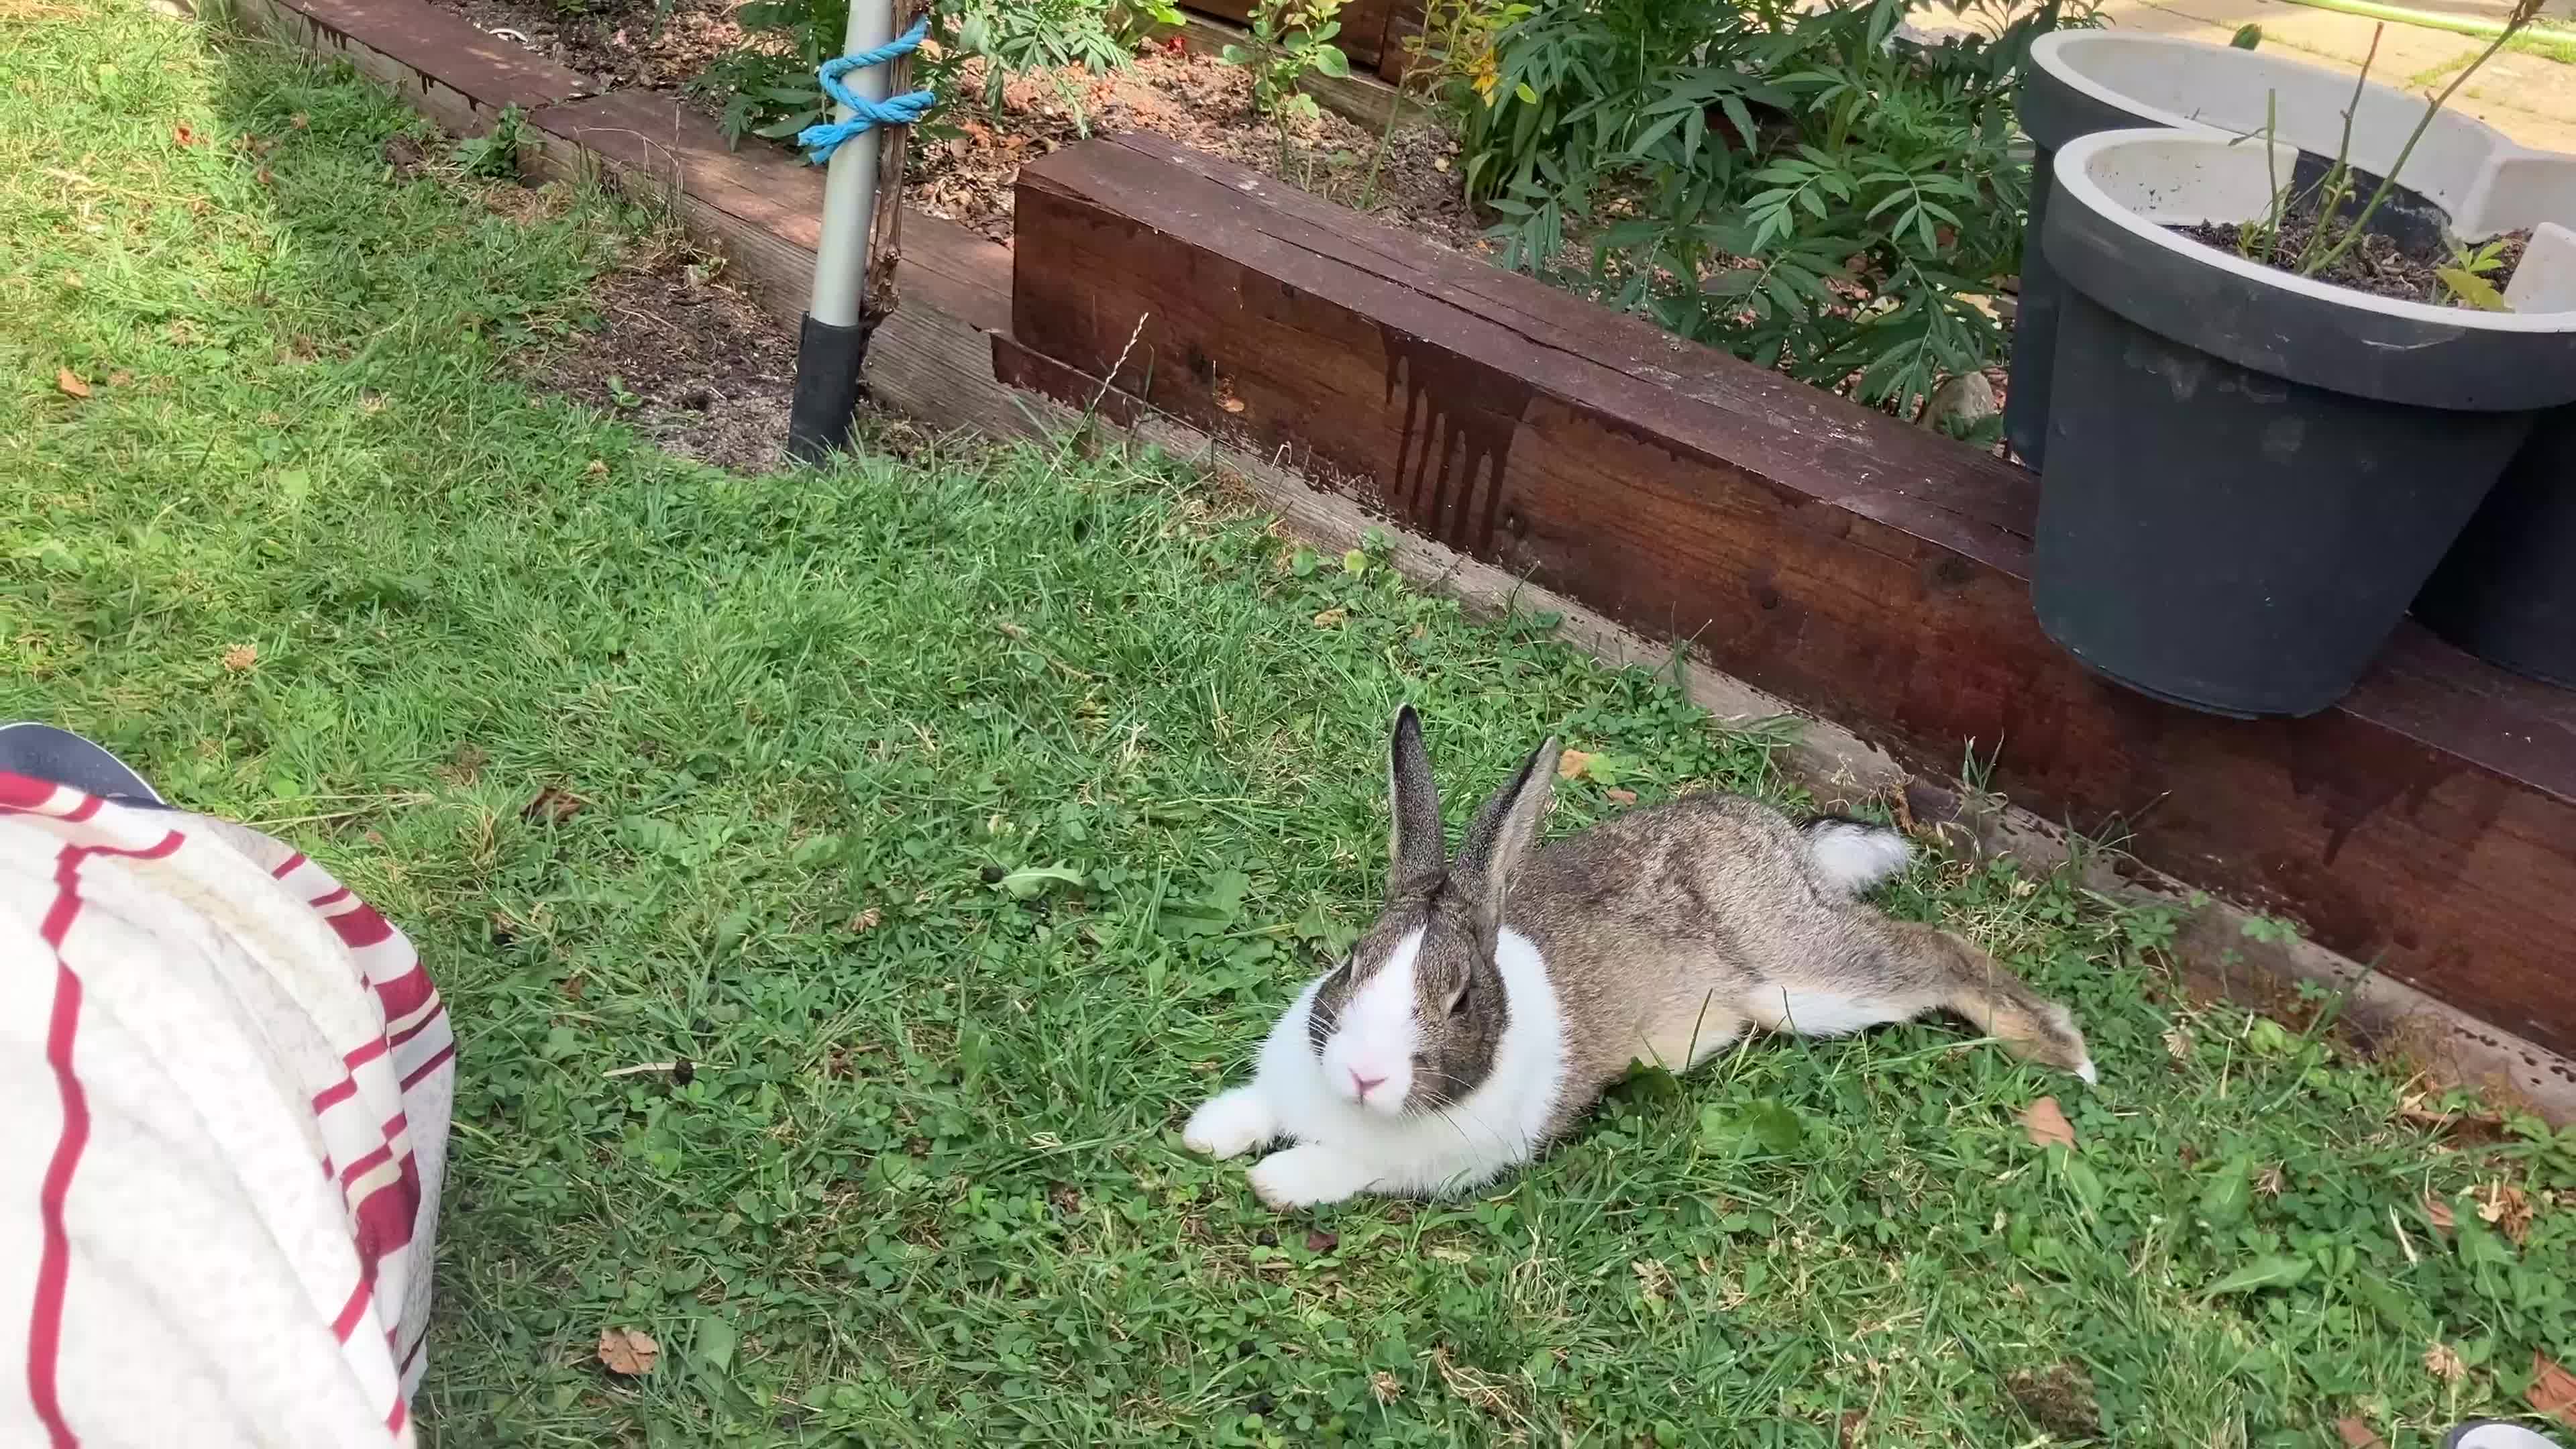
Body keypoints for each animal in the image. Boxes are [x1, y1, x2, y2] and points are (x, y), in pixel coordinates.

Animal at [1182, 705, 2096, 1210]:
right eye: (1353, 963)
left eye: (1461, 1001)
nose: (1365, 1075)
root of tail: (1786, 844)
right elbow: (1255, 1111)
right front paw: (1208, 1134)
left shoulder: (1441, 1162)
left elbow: (1335, 1171)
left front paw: (1277, 1181)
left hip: (1808, 979)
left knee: (1937, 955)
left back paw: (2064, 1050)